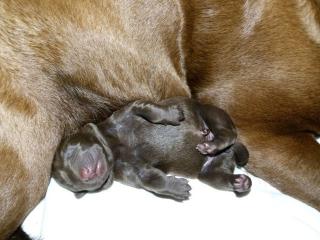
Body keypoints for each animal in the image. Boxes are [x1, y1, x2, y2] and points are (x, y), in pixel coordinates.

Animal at [53, 97, 252, 201]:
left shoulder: (128, 111)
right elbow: (151, 180)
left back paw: (211, 143)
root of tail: (229, 152)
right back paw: (240, 182)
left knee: (228, 133)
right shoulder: (133, 171)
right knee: (218, 176)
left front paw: (172, 114)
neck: (113, 148)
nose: (85, 175)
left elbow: (148, 109)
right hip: (209, 172)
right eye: (71, 184)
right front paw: (177, 188)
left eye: (68, 151)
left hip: (211, 114)